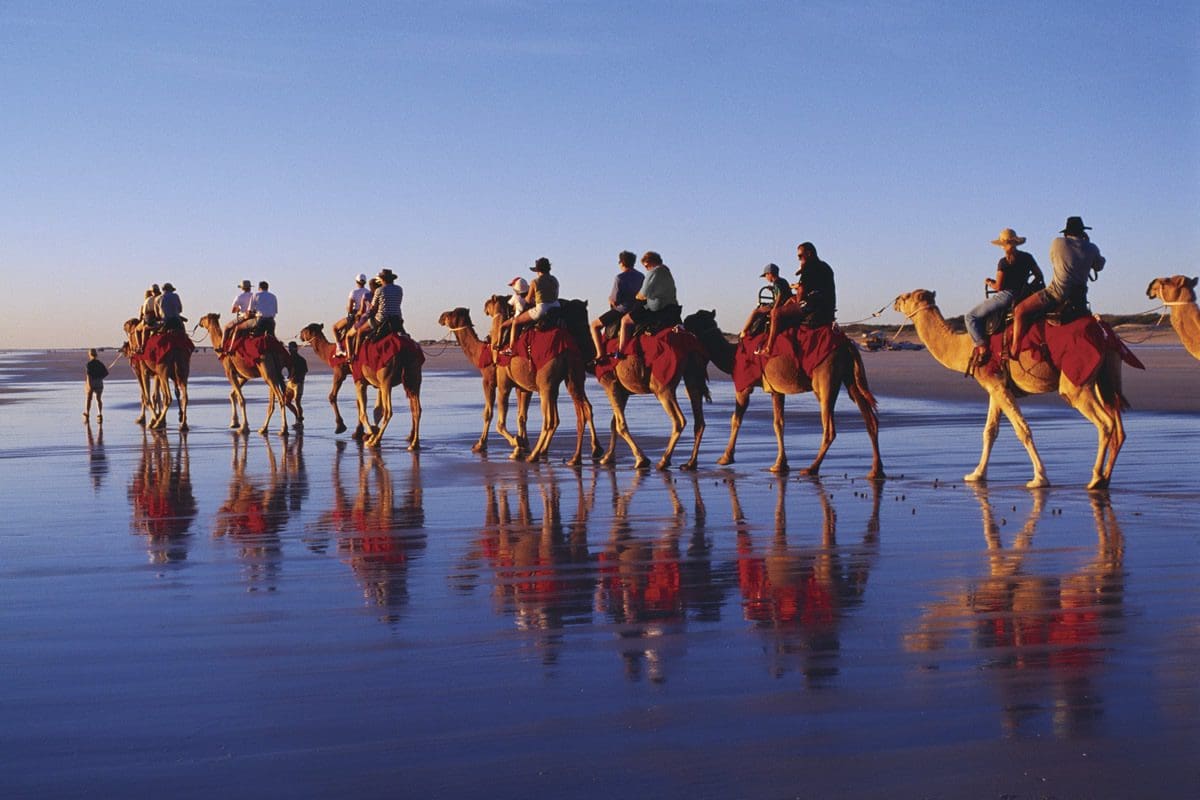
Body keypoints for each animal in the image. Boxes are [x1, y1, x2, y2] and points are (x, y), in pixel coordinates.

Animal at [447, 301, 600, 465]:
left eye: (450, 314)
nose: (441, 317)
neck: (483, 353)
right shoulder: (523, 387)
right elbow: (521, 417)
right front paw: (522, 444)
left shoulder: (493, 382)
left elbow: (489, 414)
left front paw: (483, 445)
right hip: (570, 378)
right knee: (583, 408)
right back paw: (592, 450)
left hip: (546, 383)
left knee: (551, 419)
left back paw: (536, 454)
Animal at [683, 310, 883, 477]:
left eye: (697, 317)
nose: (684, 320)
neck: (732, 356)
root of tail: (848, 344)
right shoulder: (776, 389)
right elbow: (778, 423)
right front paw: (780, 465)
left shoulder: (743, 386)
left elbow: (736, 419)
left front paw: (725, 458)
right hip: (849, 377)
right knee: (868, 417)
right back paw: (876, 471)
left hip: (826, 375)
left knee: (830, 427)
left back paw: (811, 468)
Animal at [893, 289, 1128, 490]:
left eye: (907, 296)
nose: (895, 301)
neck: (967, 347)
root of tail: (1103, 329)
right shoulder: (996, 385)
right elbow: (990, 431)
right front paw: (976, 474)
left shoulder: (996, 383)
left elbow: (1022, 429)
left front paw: (1039, 478)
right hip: (1106, 375)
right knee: (1117, 424)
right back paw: (1105, 479)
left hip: (1076, 380)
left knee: (1104, 422)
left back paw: (1095, 478)